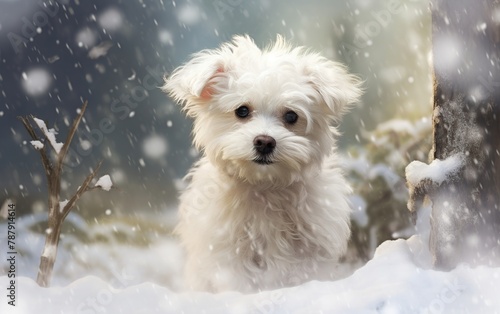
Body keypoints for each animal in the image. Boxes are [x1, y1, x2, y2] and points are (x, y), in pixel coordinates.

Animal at [164, 35, 364, 294]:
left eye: (291, 116)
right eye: (242, 110)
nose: (264, 142)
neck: (264, 187)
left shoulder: (311, 250)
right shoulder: (227, 252)